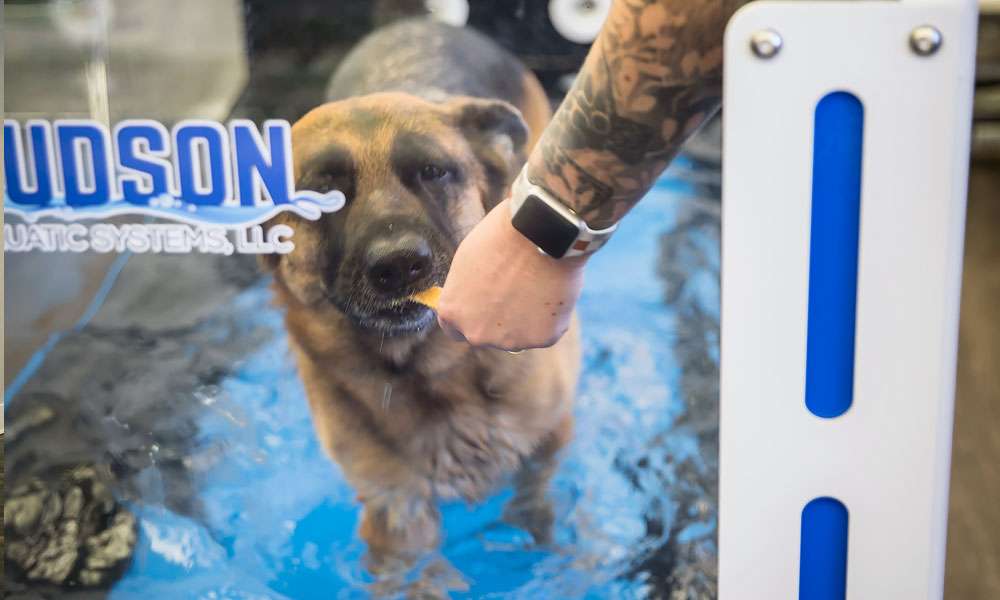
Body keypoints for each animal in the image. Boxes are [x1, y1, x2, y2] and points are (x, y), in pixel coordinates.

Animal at [262, 19, 584, 584]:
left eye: (433, 171)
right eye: (322, 194)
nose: (398, 266)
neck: (431, 373)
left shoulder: (547, 442)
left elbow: (536, 504)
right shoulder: (396, 504)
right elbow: (410, 570)